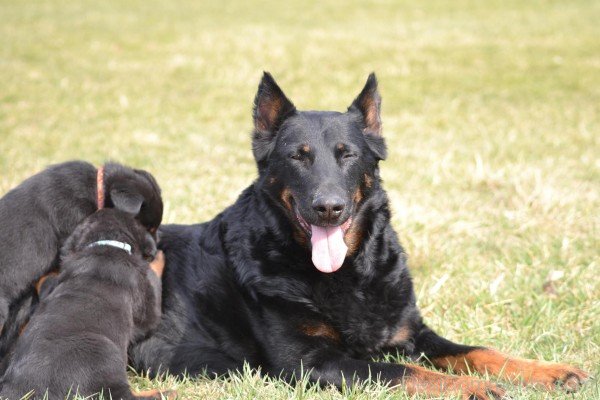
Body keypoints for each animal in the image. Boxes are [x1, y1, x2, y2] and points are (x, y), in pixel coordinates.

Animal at [130, 73, 584, 398]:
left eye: (347, 155)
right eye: (298, 157)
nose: (328, 207)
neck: (348, 273)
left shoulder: (411, 333)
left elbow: (478, 351)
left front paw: (548, 371)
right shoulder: (311, 362)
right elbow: (405, 371)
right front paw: (471, 388)